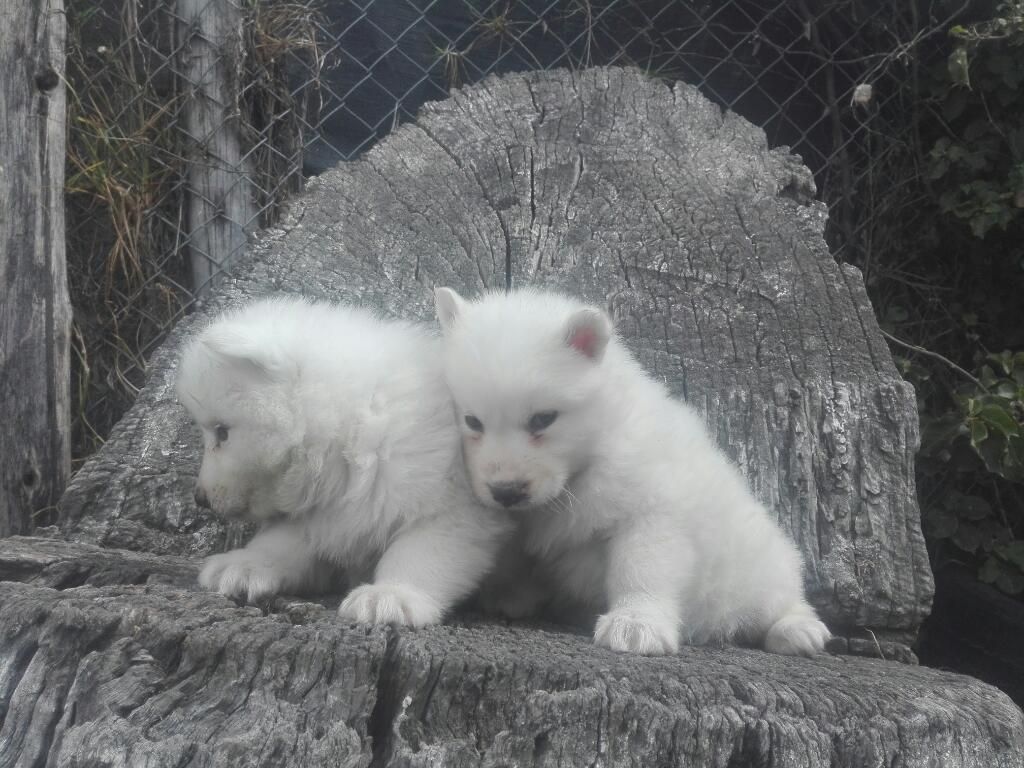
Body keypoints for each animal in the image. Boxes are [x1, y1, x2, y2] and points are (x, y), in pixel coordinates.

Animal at [178, 296, 512, 626]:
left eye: (222, 432)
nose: (199, 498)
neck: (353, 430)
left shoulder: (452, 504)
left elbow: (422, 550)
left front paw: (390, 595)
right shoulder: (322, 509)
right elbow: (285, 540)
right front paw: (245, 564)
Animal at [434, 286, 831, 659]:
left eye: (543, 419)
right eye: (472, 421)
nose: (506, 491)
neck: (590, 457)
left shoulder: (650, 510)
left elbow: (641, 567)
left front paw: (636, 624)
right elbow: (517, 557)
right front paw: (510, 593)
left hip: (758, 566)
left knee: (784, 596)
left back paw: (798, 630)